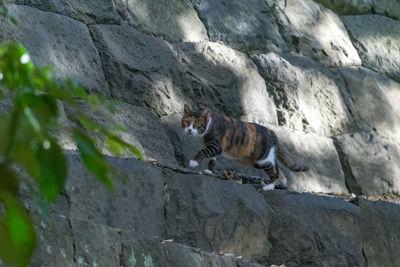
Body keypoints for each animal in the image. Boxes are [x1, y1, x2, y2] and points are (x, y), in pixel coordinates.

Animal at [181, 104, 310, 191]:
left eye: (197, 125)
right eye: (186, 122)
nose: (189, 130)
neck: (209, 124)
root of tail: (273, 134)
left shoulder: (216, 146)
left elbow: (203, 151)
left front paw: (193, 162)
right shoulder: (213, 147)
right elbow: (212, 159)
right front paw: (210, 171)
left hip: (261, 160)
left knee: (274, 171)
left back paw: (269, 186)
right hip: (261, 158)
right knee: (277, 166)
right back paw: (282, 182)